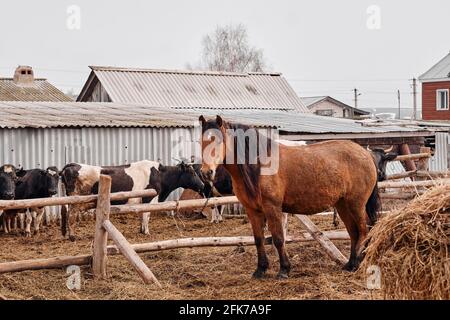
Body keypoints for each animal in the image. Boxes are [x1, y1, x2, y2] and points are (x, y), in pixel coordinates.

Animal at [59, 160, 203, 240]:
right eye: (192, 173)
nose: (202, 185)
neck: (160, 174)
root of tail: (72, 165)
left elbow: (142, 215)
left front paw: (141, 230)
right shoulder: (149, 198)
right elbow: (146, 215)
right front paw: (146, 232)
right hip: (76, 200)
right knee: (71, 215)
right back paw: (72, 236)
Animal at [199, 115, 378, 278]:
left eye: (218, 141)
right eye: (201, 142)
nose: (206, 172)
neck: (260, 166)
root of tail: (366, 153)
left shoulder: (272, 208)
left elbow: (278, 238)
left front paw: (284, 270)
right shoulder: (252, 210)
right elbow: (258, 239)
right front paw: (260, 269)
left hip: (356, 204)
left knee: (364, 230)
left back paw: (357, 262)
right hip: (342, 205)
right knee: (354, 232)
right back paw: (350, 264)